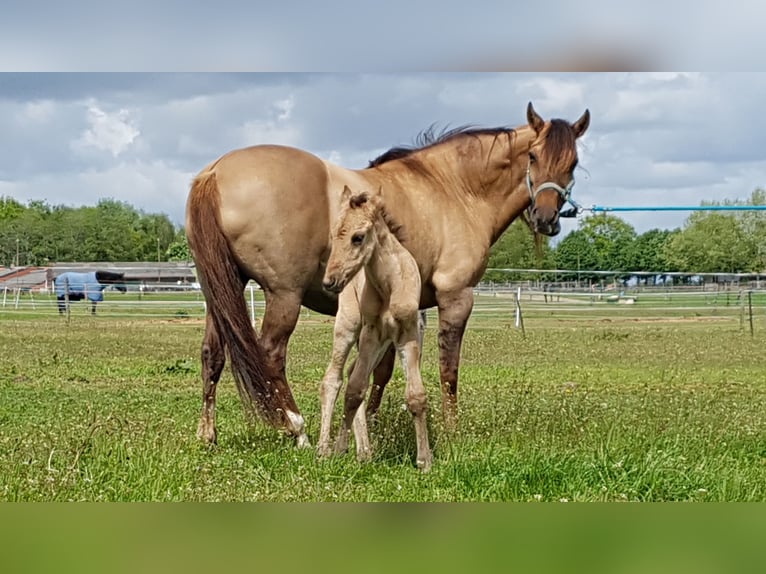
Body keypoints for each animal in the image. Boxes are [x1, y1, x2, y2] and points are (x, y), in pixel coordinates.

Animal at [322, 187, 436, 470]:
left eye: (357, 237)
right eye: (334, 235)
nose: (329, 281)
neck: (389, 284)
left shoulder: (408, 334)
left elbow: (416, 395)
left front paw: (424, 461)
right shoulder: (371, 332)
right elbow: (354, 390)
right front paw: (339, 449)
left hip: (383, 344)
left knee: (350, 373)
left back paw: (364, 451)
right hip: (349, 326)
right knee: (333, 378)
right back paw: (323, 448)